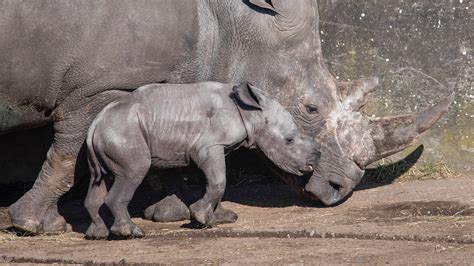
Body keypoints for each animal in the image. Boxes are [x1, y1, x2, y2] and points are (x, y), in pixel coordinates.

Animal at [85, 81, 320, 239]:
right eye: (289, 140)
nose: (313, 163)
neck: (250, 113)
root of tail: (95, 125)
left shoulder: (207, 148)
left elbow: (213, 182)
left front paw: (223, 218)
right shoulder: (209, 145)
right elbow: (218, 181)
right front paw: (202, 219)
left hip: (112, 133)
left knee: (100, 180)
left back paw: (97, 234)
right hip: (124, 132)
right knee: (134, 171)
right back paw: (132, 232)